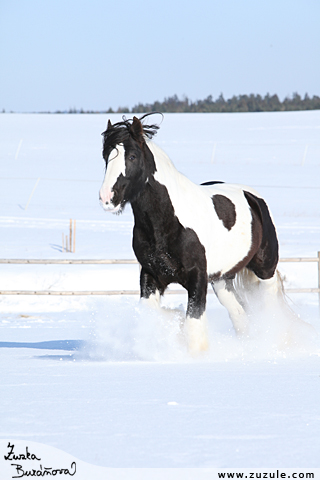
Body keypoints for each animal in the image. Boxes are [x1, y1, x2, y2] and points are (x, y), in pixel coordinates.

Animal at [99, 112, 282, 352]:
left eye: (132, 156)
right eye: (105, 156)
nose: (107, 198)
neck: (166, 224)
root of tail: (253, 197)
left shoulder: (197, 279)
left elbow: (193, 326)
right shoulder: (150, 275)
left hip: (265, 269)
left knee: (269, 306)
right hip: (222, 280)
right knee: (240, 314)